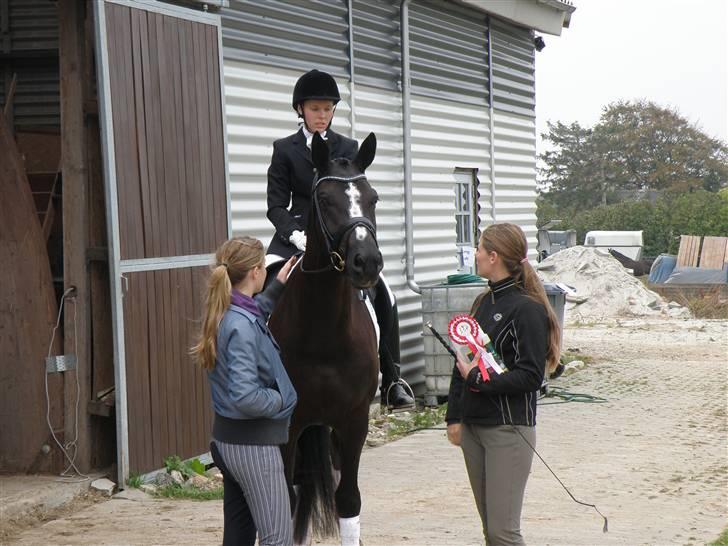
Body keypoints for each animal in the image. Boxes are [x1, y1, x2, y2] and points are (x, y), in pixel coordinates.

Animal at [268, 132, 382, 544]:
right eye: (326, 200)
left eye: (373, 198)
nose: (367, 263)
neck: (324, 335)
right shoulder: (286, 426)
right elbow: (283, 501)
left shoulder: (354, 421)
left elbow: (348, 500)